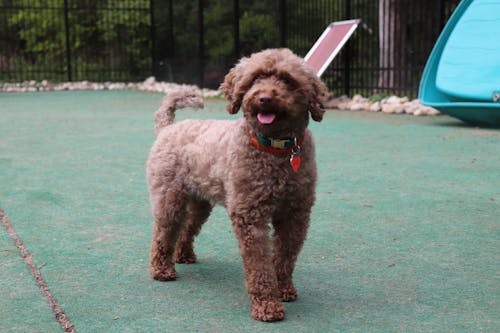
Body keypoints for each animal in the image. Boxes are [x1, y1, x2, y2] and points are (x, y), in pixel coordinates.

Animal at [146, 48, 330, 320]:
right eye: (255, 78)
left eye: (287, 80)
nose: (264, 98)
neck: (274, 149)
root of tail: (167, 128)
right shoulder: (250, 215)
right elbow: (260, 265)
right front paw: (267, 305)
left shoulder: (295, 213)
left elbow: (286, 256)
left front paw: (284, 290)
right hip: (169, 197)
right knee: (164, 231)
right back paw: (161, 270)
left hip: (200, 202)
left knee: (187, 227)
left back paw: (184, 255)